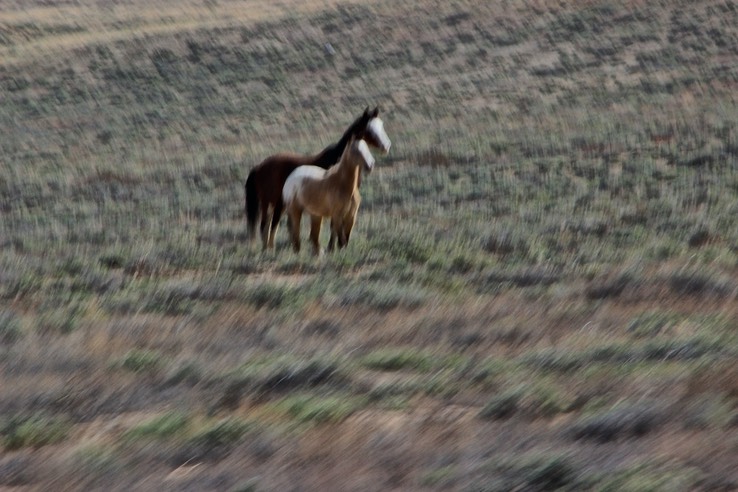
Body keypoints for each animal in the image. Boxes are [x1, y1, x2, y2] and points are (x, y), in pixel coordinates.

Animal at [243, 106, 392, 250]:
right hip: (269, 203)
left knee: (271, 225)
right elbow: (333, 225)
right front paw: (332, 247)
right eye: (370, 130)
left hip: (278, 204)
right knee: (266, 225)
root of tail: (259, 167)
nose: (387, 146)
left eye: (381, 125)